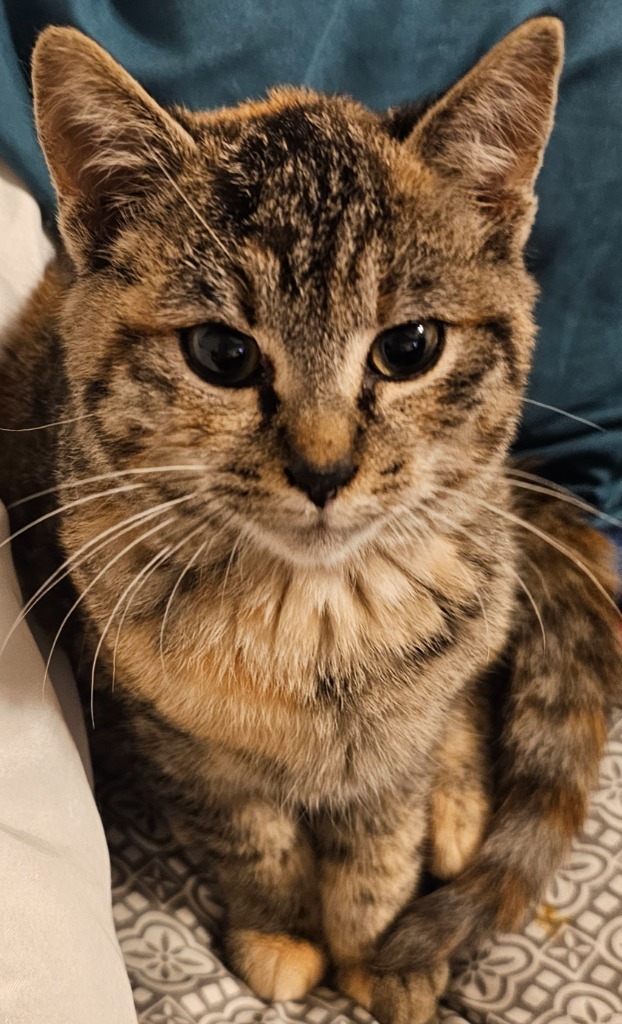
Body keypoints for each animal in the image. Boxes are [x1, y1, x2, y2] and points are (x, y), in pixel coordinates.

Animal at [0, 16, 618, 1024]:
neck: (317, 615)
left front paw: (377, 949)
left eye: (410, 346)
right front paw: (283, 930)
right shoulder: (180, 737)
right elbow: (256, 840)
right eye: (221, 352)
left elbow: (381, 842)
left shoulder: (403, 731)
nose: (324, 469)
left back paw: (460, 811)